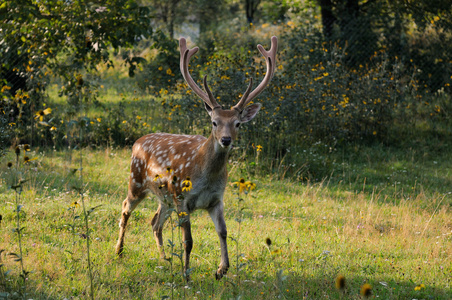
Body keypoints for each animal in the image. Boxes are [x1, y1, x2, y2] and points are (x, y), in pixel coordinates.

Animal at [115, 35, 278, 282]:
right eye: (214, 122)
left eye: (237, 124)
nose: (226, 140)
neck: (205, 176)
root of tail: (137, 142)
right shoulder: (182, 197)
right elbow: (188, 241)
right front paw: (187, 275)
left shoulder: (216, 200)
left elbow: (223, 232)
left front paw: (221, 270)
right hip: (137, 182)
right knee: (125, 208)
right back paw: (119, 251)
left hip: (165, 197)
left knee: (155, 221)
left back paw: (165, 258)